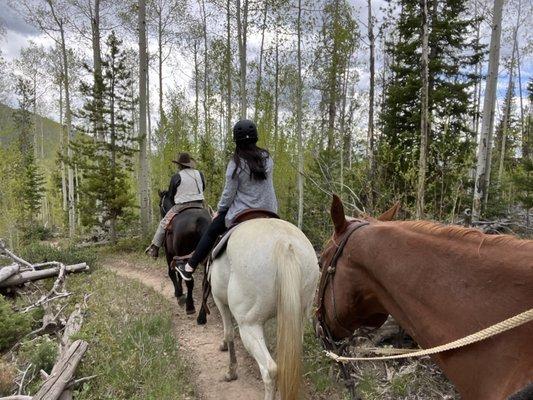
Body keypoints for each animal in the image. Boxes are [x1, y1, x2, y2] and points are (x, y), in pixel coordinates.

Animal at [210, 219, 318, 400]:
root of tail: (284, 242)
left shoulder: (220, 301)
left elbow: (229, 333)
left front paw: (231, 371)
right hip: (298, 321)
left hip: (248, 326)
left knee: (270, 370)